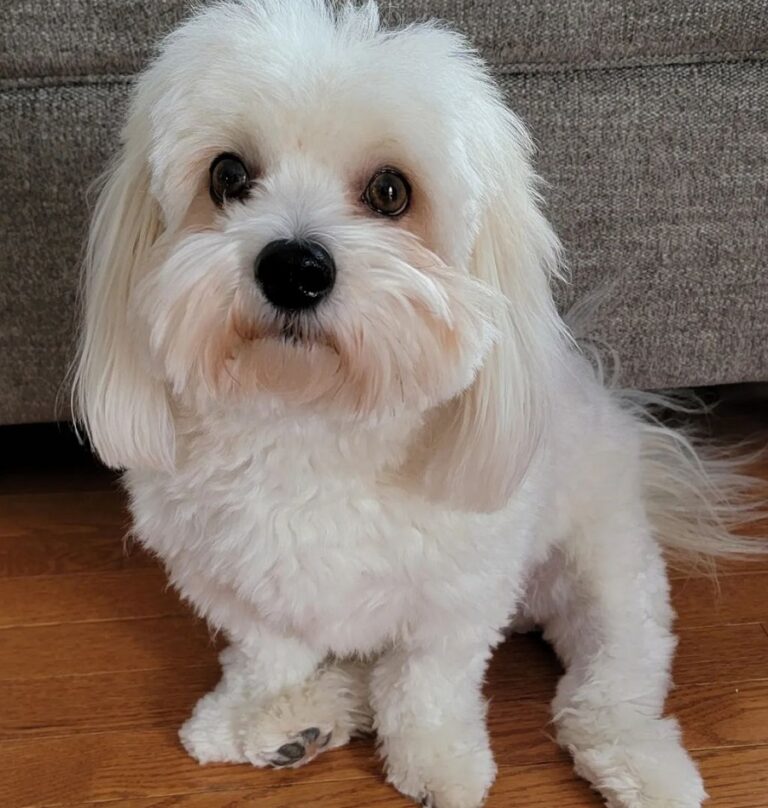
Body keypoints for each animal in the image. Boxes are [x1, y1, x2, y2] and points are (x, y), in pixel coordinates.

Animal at [72, 3, 760, 804]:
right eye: (228, 175)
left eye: (391, 192)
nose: (294, 267)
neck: (311, 420)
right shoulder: (228, 580)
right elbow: (271, 650)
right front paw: (263, 705)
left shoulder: (459, 596)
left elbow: (425, 682)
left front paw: (437, 758)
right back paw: (305, 718)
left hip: (608, 572)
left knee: (612, 677)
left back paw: (643, 765)